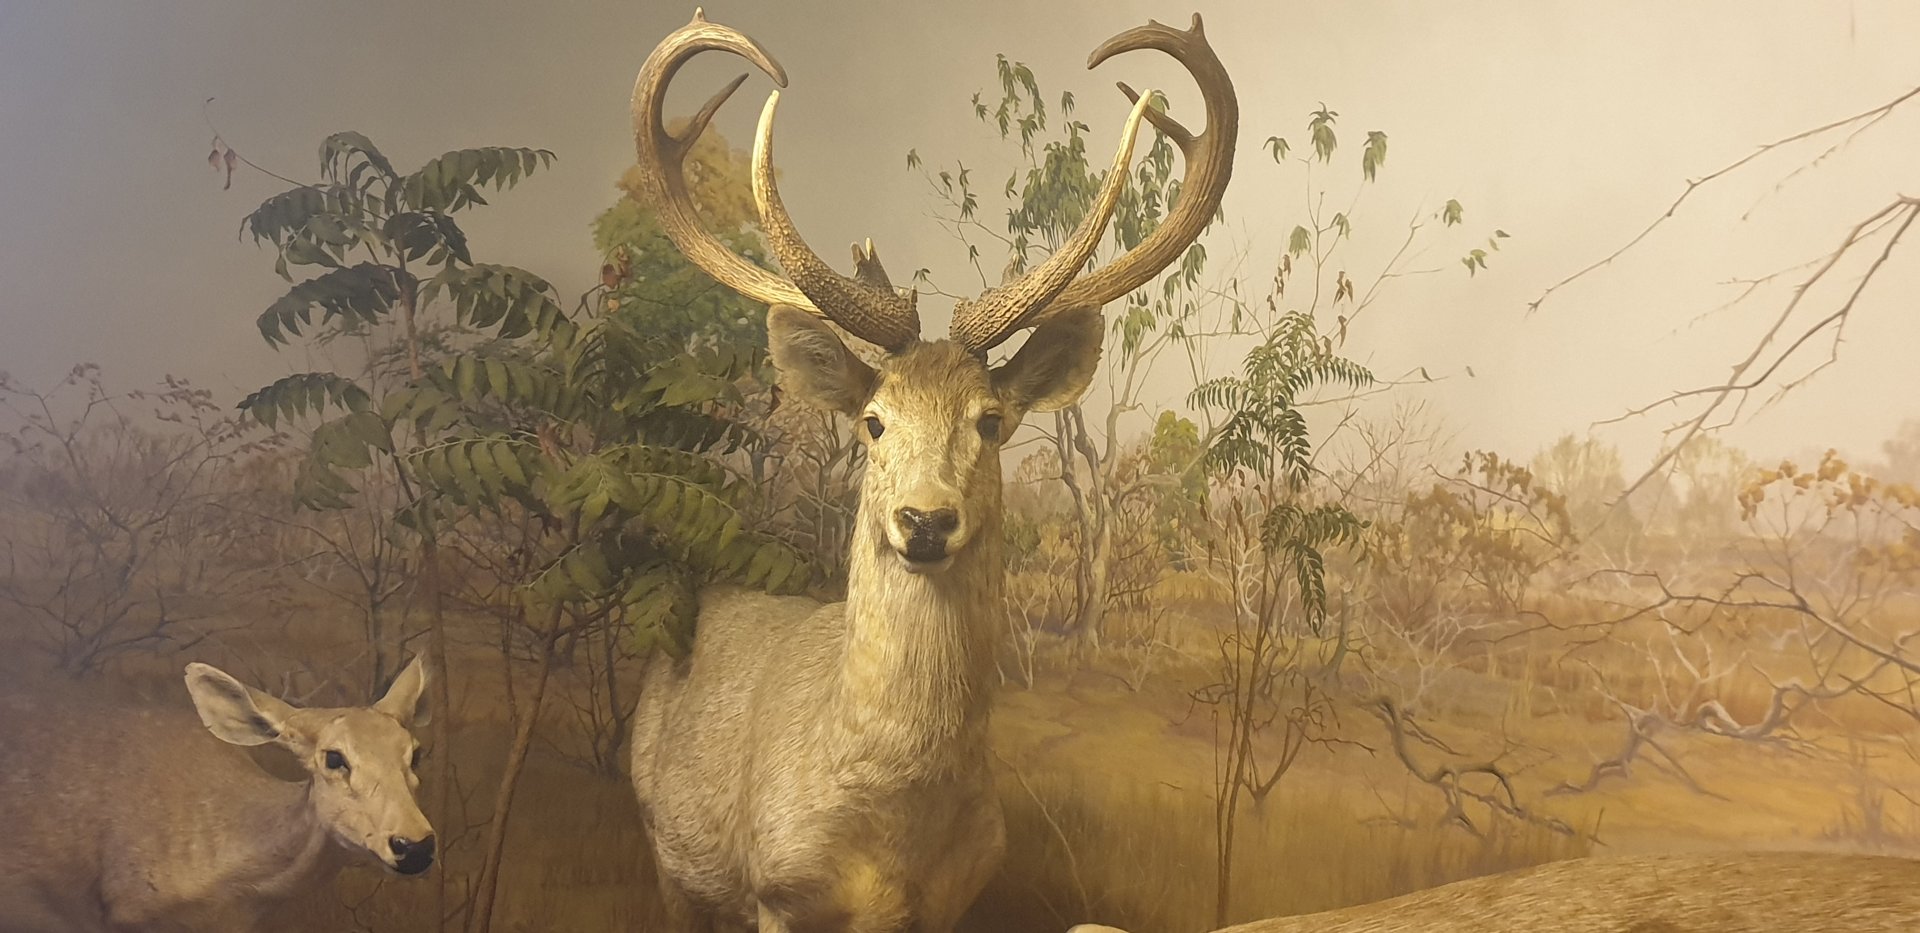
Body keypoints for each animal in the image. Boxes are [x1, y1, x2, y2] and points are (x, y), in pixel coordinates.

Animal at [624, 9, 1236, 933]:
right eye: (873, 421)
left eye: (991, 420)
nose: (924, 519)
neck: (892, 829)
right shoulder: (775, 887)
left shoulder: (955, 896)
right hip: (664, 848)